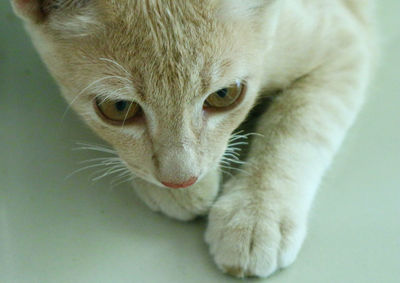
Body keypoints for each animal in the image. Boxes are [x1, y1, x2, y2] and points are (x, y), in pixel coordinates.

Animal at [12, 0, 376, 280]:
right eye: (118, 108)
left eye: (224, 95)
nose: (180, 180)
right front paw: (183, 193)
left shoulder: (346, 43)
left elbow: (298, 124)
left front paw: (258, 213)